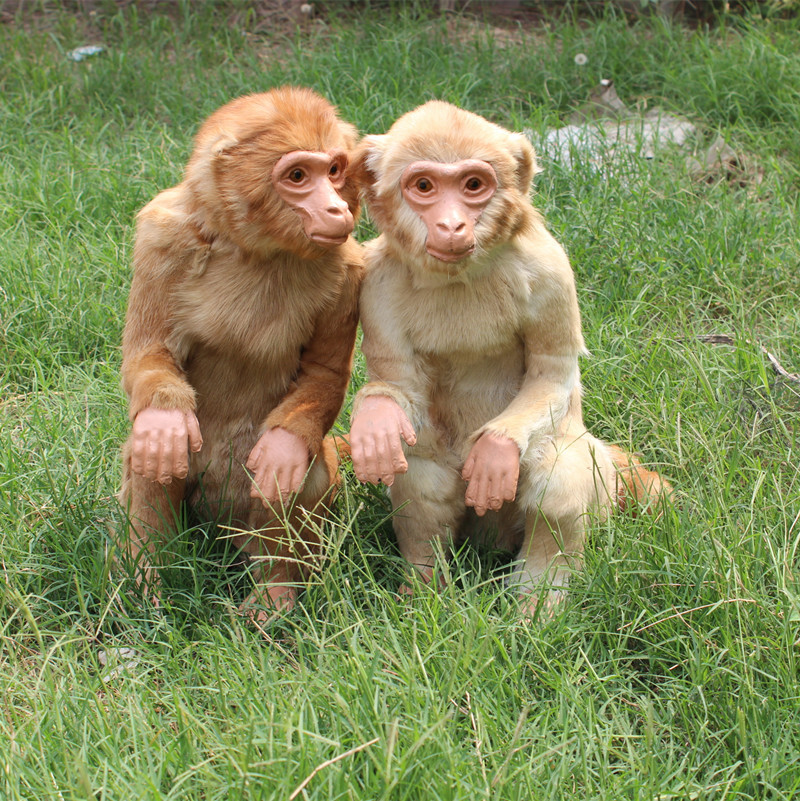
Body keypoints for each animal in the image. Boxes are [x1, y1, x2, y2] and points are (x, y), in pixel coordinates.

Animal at [118, 87, 362, 620]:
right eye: (298, 176)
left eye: (334, 170)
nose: (336, 209)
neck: (257, 250)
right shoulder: (161, 237)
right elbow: (147, 357)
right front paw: (162, 413)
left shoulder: (350, 266)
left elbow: (324, 376)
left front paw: (284, 450)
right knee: (155, 448)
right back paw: (147, 587)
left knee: (295, 468)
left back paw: (274, 590)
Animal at [350, 100, 668, 612]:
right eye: (424, 187)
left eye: (472, 185)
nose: (452, 224)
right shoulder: (375, 283)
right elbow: (400, 392)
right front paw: (376, 418)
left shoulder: (550, 268)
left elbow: (553, 375)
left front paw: (497, 450)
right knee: (422, 470)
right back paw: (425, 589)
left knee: (556, 471)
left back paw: (539, 600)